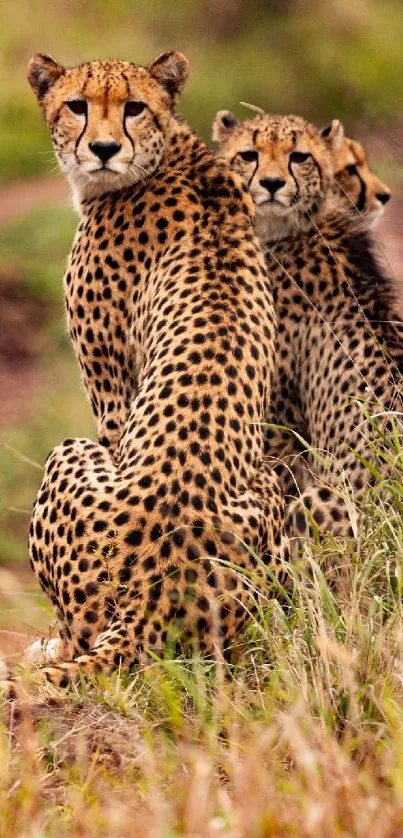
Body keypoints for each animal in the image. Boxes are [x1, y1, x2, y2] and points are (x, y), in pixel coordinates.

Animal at [19, 54, 290, 688]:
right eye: (77, 105)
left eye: (134, 107)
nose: (103, 148)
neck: (171, 153)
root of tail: (155, 590)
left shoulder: (110, 390)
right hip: (268, 485)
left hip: (67, 453)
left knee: (81, 636)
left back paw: (50, 650)